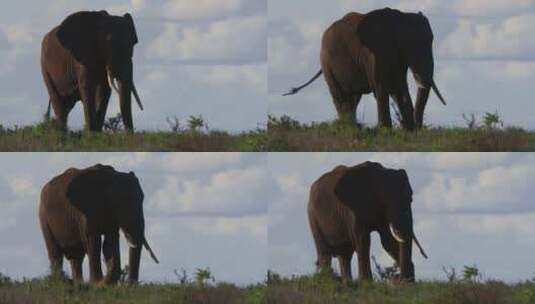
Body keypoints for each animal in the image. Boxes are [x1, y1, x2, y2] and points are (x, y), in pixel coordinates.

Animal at [284, 8, 448, 129]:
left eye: (431, 40)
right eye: (409, 44)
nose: (418, 128)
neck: (400, 17)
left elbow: (399, 88)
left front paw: (408, 131)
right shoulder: (372, 53)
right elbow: (381, 87)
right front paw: (386, 130)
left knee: (353, 98)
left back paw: (353, 127)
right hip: (326, 63)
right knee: (339, 96)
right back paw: (347, 128)